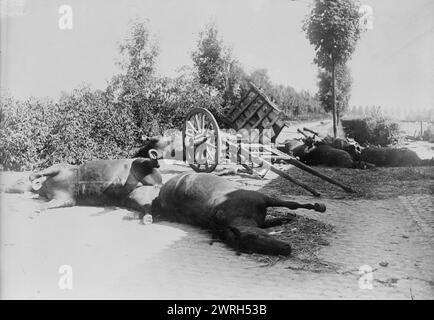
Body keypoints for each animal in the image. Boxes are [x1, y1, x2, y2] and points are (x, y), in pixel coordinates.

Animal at [150, 171, 326, 256]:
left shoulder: (265, 199)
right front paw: (284, 219)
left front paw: (316, 207)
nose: (286, 249)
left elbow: (292, 205)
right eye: (250, 246)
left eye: (255, 236)